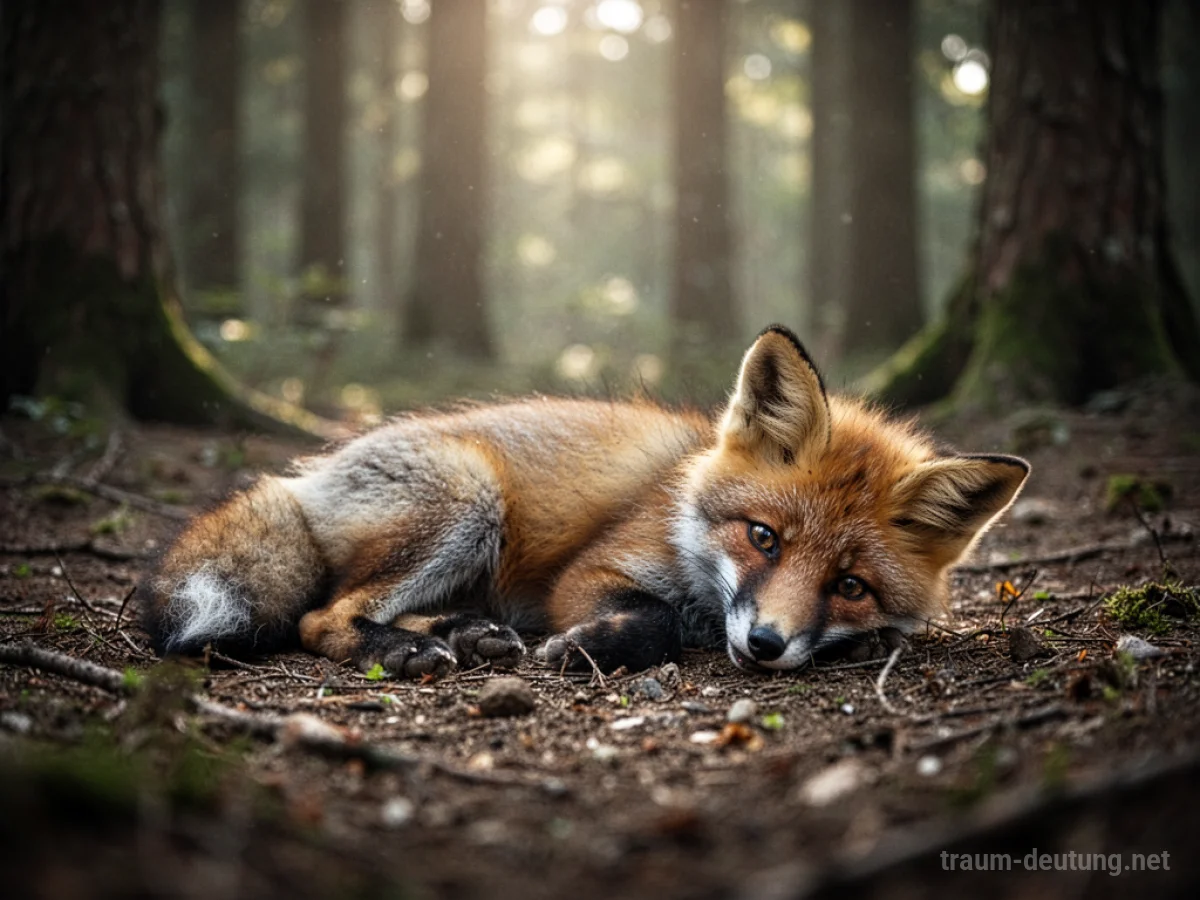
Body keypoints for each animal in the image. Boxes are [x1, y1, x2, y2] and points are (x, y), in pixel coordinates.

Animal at [143, 325, 1029, 677]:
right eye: (764, 538)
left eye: (850, 585)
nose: (767, 644)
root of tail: (303, 476)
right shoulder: (592, 572)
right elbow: (658, 617)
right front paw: (589, 646)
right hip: (470, 504)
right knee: (322, 617)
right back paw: (405, 649)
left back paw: (465, 634)